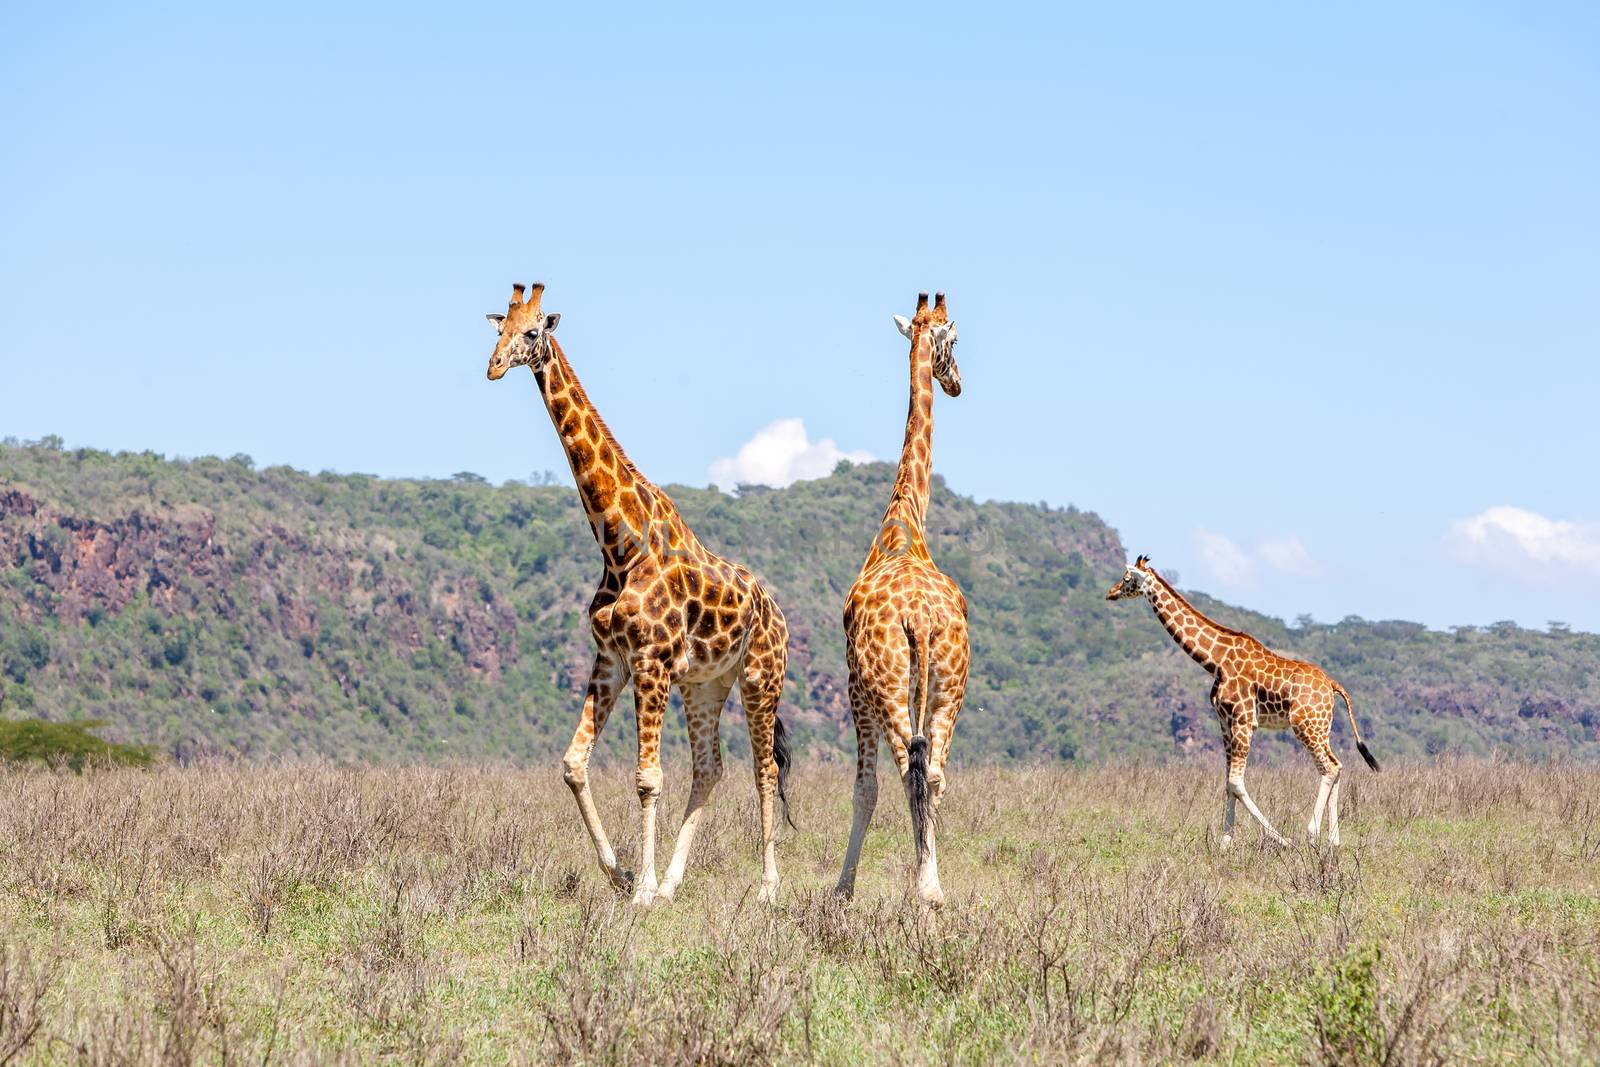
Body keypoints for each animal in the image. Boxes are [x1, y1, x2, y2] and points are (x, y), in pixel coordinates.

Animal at [480, 281, 793, 902]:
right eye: (498, 328)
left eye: (534, 330)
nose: (494, 366)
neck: (620, 544)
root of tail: (779, 613)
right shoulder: (611, 659)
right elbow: (574, 764)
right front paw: (624, 875)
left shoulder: (650, 662)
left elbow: (648, 778)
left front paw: (641, 887)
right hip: (705, 685)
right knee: (710, 767)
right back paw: (674, 881)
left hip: (759, 678)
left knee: (764, 768)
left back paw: (767, 886)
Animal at [1107, 559, 1382, 851]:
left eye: (1127, 579)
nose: (1110, 593)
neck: (1215, 660)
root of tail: (1332, 685)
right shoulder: (1225, 723)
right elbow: (1228, 783)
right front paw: (1225, 841)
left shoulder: (1244, 720)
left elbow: (1236, 783)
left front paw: (1281, 840)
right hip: (1320, 727)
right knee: (1336, 765)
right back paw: (1333, 840)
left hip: (1305, 725)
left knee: (1329, 767)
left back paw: (1311, 834)